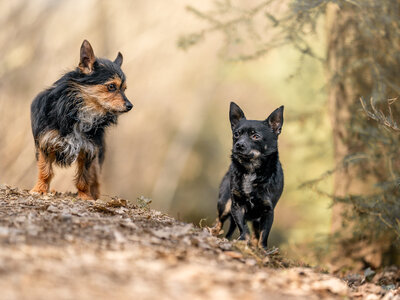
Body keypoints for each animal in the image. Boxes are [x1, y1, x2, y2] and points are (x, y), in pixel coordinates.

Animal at [30, 39, 133, 199]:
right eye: (111, 86)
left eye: (124, 89)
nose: (130, 106)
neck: (82, 112)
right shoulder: (46, 143)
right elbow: (45, 171)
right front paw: (40, 189)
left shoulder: (88, 150)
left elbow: (84, 178)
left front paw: (85, 196)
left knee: (95, 179)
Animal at [212, 102, 284, 250]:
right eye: (236, 134)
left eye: (255, 136)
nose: (239, 144)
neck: (251, 170)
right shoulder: (237, 206)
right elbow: (244, 228)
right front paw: (243, 241)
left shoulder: (268, 211)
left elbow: (263, 235)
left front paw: (262, 250)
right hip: (225, 203)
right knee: (220, 220)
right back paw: (215, 232)